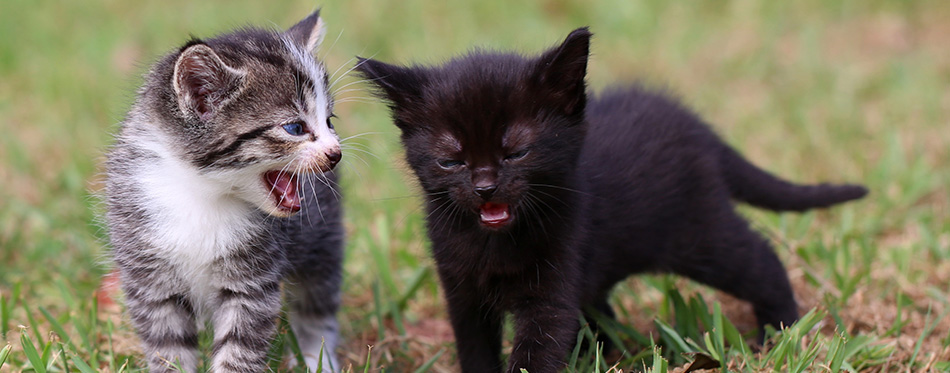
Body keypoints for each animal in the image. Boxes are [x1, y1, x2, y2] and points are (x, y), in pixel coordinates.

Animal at [108, 9, 346, 372]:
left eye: (329, 121)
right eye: (295, 128)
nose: (336, 152)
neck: (201, 194)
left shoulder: (252, 283)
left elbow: (239, 347)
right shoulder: (149, 278)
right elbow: (168, 346)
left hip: (323, 236)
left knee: (317, 300)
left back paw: (317, 357)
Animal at [356, 27, 872, 370]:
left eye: (517, 152)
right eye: (452, 161)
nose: (485, 186)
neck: (493, 246)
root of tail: (696, 127)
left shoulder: (552, 288)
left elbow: (537, 350)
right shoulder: (462, 292)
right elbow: (476, 350)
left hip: (701, 232)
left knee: (760, 258)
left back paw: (779, 330)